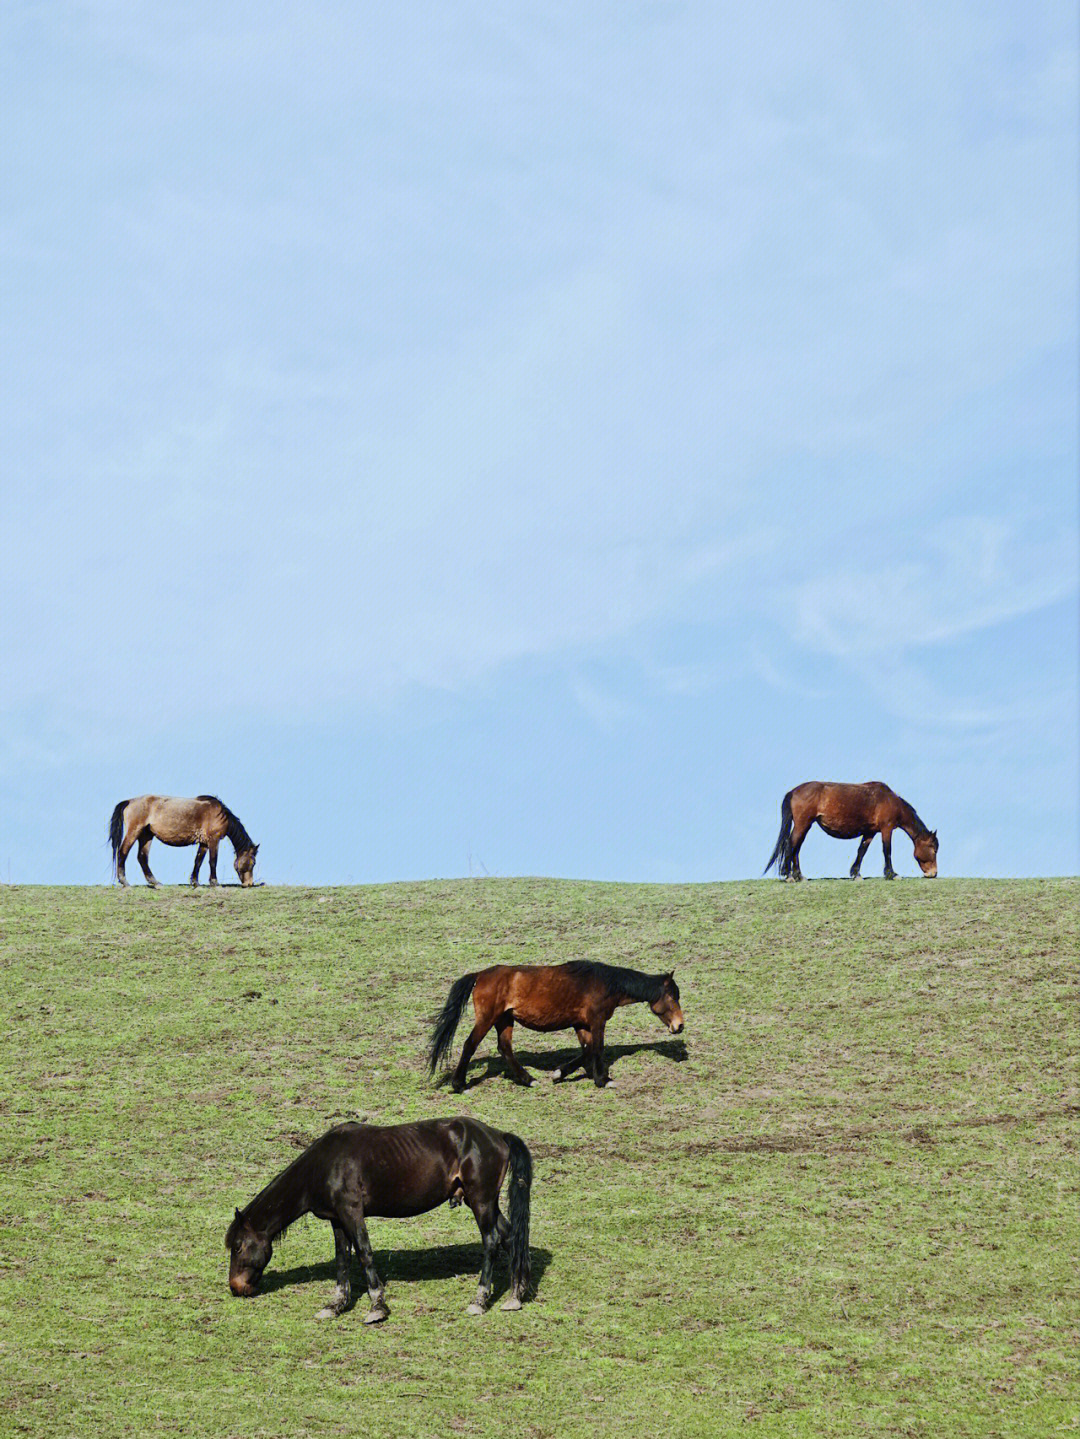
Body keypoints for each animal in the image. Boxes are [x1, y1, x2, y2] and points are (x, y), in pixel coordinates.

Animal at [106, 794, 260, 880]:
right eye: (253, 863)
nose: (249, 884)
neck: (219, 815)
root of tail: (130, 801)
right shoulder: (213, 840)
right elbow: (212, 861)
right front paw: (215, 883)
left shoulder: (204, 843)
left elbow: (198, 861)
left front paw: (195, 882)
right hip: (134, 832)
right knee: (123, 852)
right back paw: (124, 882)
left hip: (146, 835)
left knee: (142, 858)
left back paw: (155, 883)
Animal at [225, 1110, 534, 1323]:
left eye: (238, 1246)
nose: (236, 1288)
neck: (324, 1165)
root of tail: (497, 1135)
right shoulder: (337, 1220)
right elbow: (342, 1259)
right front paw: (335, 1305)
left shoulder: (352, 1212)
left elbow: (364, 1253)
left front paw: (377, 1307)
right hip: (483, 1203)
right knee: (510, 1237)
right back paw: (515, 1296)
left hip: (481, 1202)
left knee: (492, 1241)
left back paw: (480, 1300)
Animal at [428, 961, 684, 1082]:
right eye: (673, 996)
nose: (680, 1025)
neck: (605, 983)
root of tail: (480, 975)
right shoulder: (597, 1021)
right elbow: (597, 1048)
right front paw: (603, 1079)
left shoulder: (582, 1024)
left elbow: (587, 1049)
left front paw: (561, 1073)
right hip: (488, 1018)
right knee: (470, 1045)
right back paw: (459, 1084)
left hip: (504, 1020)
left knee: (505, 1048)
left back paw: (528, 1080)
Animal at [770, 782, 937, 880]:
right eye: (934, 849)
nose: (933, 873)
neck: (890, 801)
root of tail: (793, 791)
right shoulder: (886, 829)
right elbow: (887, 850)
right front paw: (892, 874)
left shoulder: (870, 832)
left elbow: (862, 851)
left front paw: (856, 873)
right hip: (802, 824)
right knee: (791, 845)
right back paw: (788, 875)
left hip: (804, 826)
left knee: (796, 847)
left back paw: (798, 875)